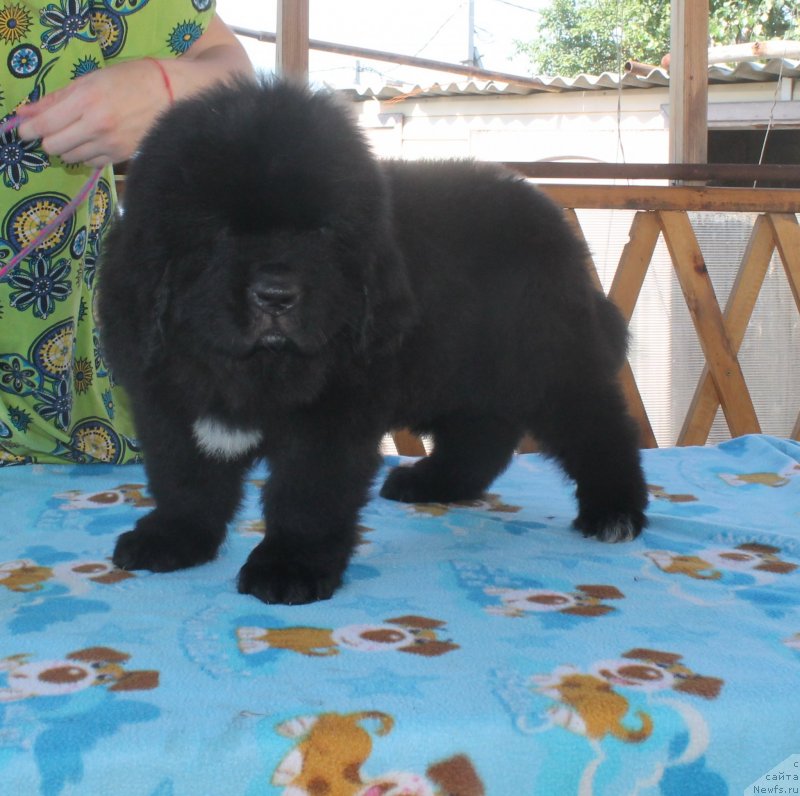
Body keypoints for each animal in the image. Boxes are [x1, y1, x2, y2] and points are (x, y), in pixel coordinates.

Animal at [98, 79, 648, 604]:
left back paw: (614, 511)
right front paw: (173, 538)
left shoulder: (330, 414)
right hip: (463, 370)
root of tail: (552, 222)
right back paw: (432, 482)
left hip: (546, 359)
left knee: (598, 430)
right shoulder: (168, 399)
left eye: (321, 231)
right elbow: (184, 478)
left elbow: (306, 494)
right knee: (481, 433)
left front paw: (289, 567)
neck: (256, 367)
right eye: (219, 230)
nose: (276, 295)